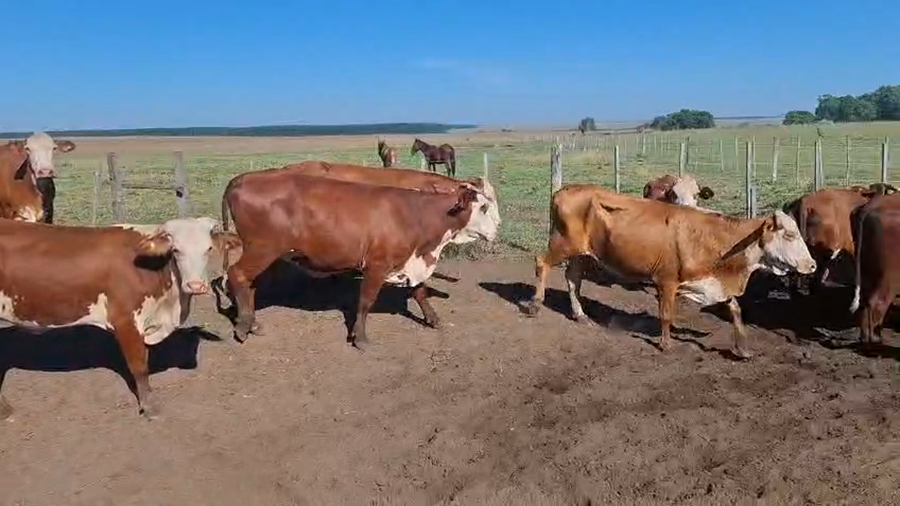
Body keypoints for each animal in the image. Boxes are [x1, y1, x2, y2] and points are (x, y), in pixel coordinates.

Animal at [0, 217, 241, 419]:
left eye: (208, 249)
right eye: (176, 250)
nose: (196, 285)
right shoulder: (126, 321)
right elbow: (139, 367)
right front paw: (149, 407)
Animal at [220, 171, 500, 347]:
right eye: (484, 207)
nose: (497, 228)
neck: (415, 215)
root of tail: (244, 178)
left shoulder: (411, 260)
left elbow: (420, 291)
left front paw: (432, 318)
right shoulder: (377, 266)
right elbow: (365, 301)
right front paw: (360, 337)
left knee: (248, 283)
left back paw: (252, 323)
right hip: (262, 249)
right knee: (237, 275)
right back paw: (243, 327)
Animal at [524, 184, 817, 359]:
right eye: (790, 235)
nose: (812, 265)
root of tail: (563, 190)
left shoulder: (712, 282)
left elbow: (735, 310)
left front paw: (743, 348)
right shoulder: (666, 281)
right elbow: (665, 314)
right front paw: (666, 344)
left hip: (581, 253)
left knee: (573, 279)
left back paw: (580, 315)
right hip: (564, 244)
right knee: (541, 263)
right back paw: (535, 305)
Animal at [848, 192, 900, 345]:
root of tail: (870, 205)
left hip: (866, 268)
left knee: (864, 301)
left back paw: (865, 337)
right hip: (890, 275)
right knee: (878, 302)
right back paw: (876, 339)